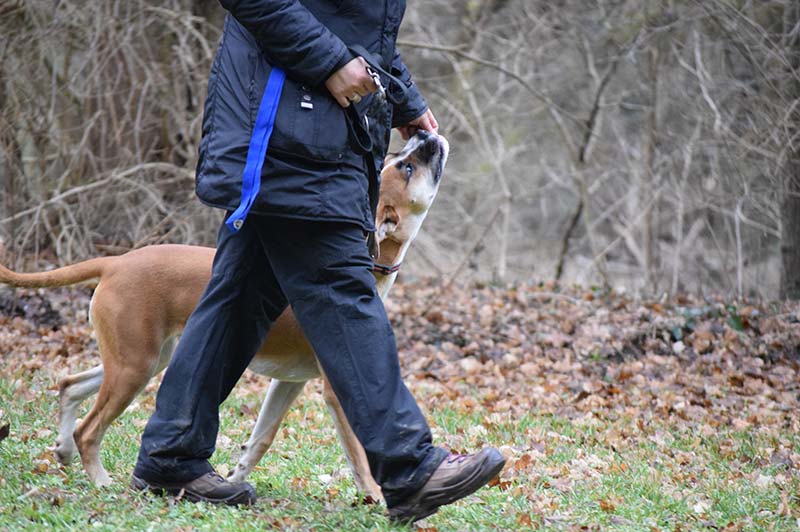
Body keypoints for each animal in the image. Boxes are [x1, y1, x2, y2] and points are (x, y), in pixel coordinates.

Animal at [0, 132, 446, 498]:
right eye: (406, 166)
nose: (426, 135)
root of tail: (115, 262)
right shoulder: (337, 390)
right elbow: (358, 452)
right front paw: (375, 494)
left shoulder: (288, 383)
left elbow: (261, 439)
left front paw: (233, 480)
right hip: (134, 367)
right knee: (89, 429)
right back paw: (100, 480)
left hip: (140, 360)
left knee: (69, 386)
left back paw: (63, 450)